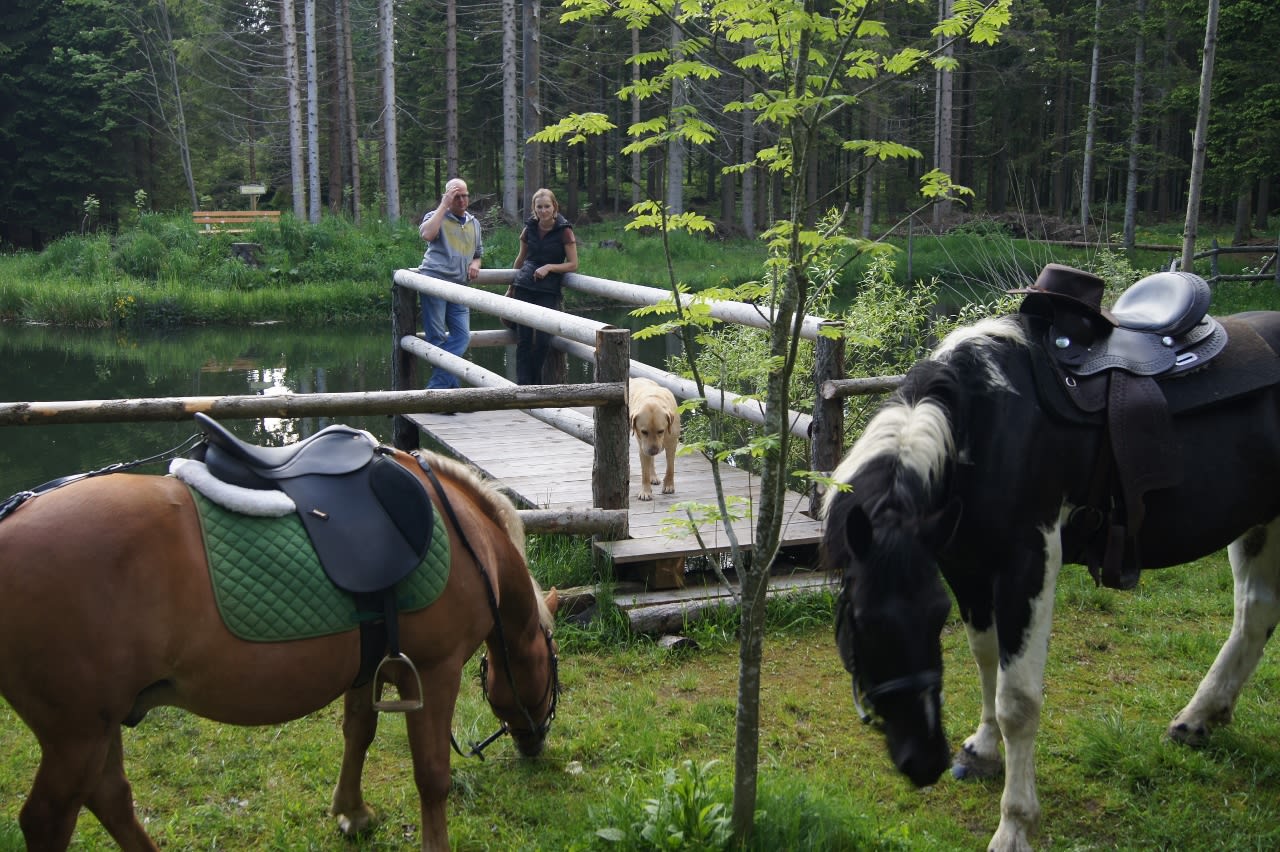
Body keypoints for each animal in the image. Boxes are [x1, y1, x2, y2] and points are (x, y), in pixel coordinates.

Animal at [0, 439, 559, 851]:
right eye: (552, 670)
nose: (534, 743)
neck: (469, 536)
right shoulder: (435, 670)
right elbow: (433, 776)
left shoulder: (368, 664)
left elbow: (359, 732)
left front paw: (352, 813)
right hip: (76, 735)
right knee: (48, 820)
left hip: (97, 727)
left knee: (112, 798)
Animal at [821, 267, 1280, 851]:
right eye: (859, 621)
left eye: (932, 616)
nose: (924, 762)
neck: (989, 424)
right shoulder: (965, 565)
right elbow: (986, 661)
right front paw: (981, 750)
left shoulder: (1028, 562)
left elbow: (1017, 701)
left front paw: (1015, 825)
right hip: (1258, 524)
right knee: (1254, 615)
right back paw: (1197, 719)